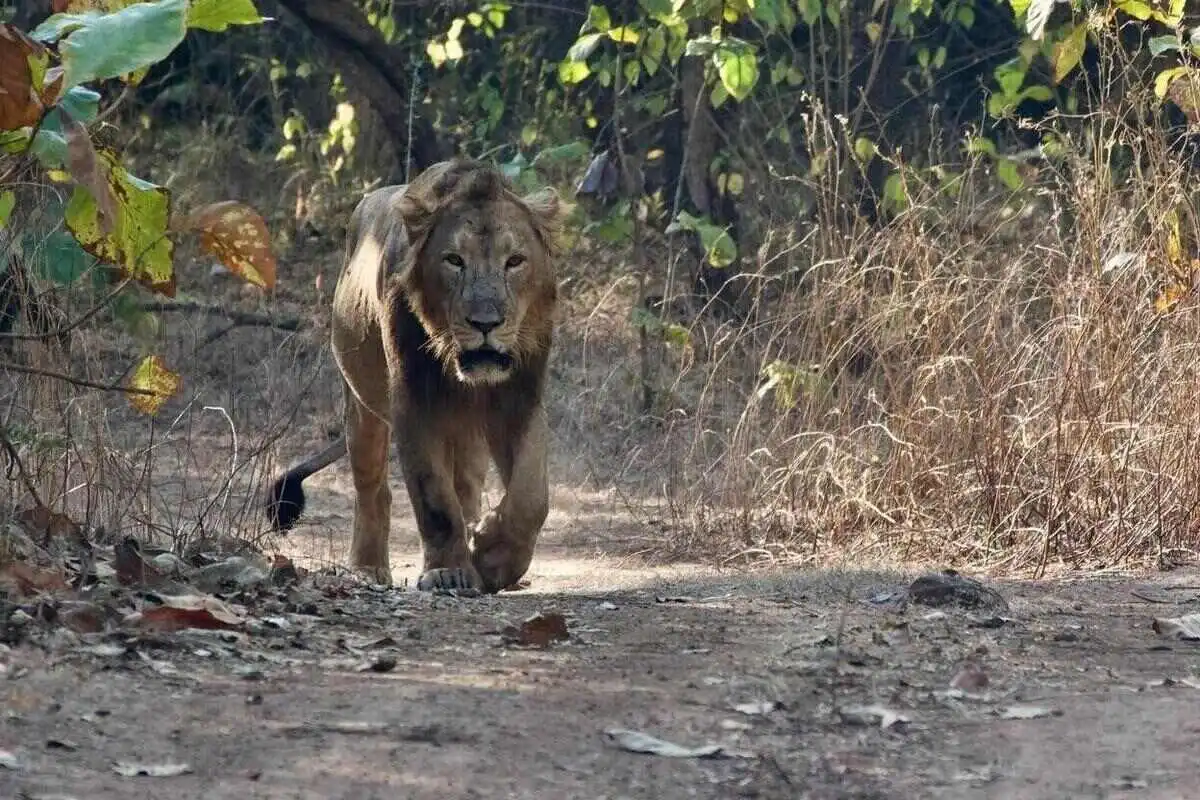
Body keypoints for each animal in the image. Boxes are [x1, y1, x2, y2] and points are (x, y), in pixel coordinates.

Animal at [265, 159, 564, 594]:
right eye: (454, 260)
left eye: (515, 261)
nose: (486, 323)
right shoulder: (413, 400)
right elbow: (434, 498)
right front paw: (449, 571)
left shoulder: (520, 397)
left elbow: (531, 496)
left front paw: (492, 557)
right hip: (361, 403)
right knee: (373, 490)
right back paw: (368, 568)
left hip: (465, 432)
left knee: (467, 486)